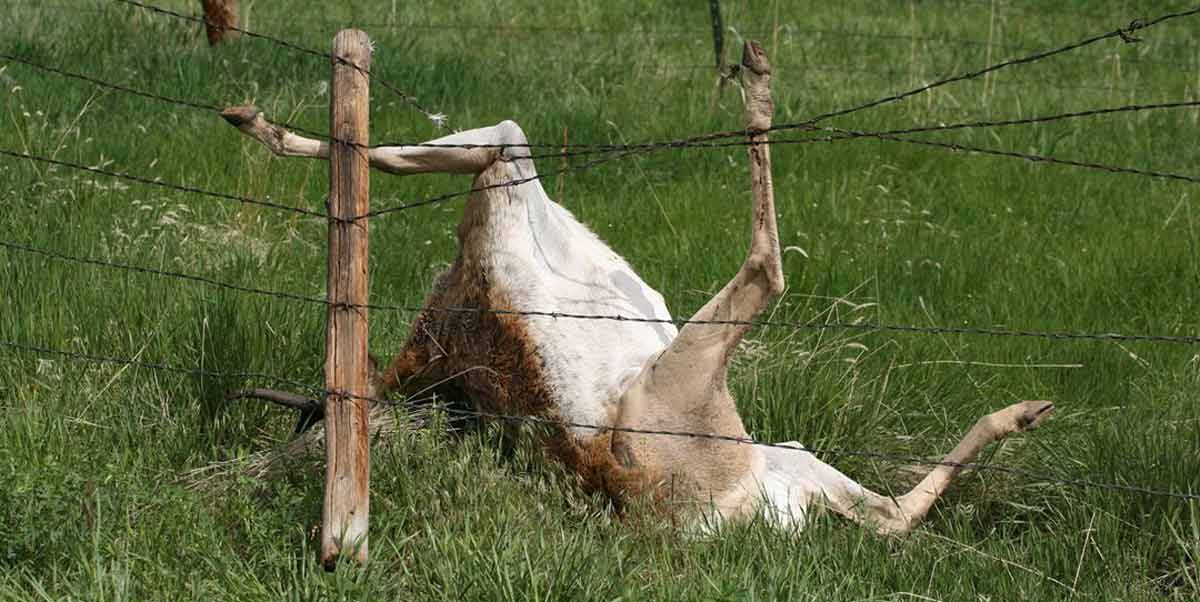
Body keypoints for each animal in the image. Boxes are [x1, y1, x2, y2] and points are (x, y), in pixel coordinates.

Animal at [219, 41, 1053, 536]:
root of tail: (710, 513)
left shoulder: (491, 174)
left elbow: (381, 154)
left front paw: (260, 123)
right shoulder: (499, 170)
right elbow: (395, 153)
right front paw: (263, 125)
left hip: (781, 452)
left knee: (889, 511)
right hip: (716, 406)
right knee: (769, 274)